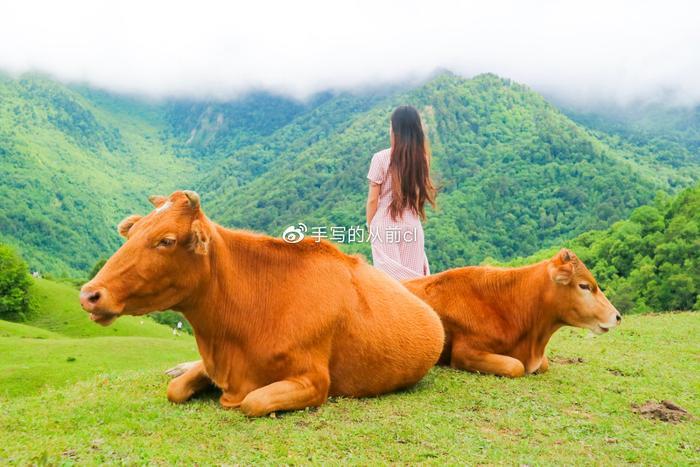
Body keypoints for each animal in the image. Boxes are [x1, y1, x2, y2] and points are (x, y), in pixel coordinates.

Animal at [78, 190, 442, 416]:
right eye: (132, 232)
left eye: (166, 240)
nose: (89, 295)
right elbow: (176, 388)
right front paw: (182, 371)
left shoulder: (314, 381)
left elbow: (253, 402)